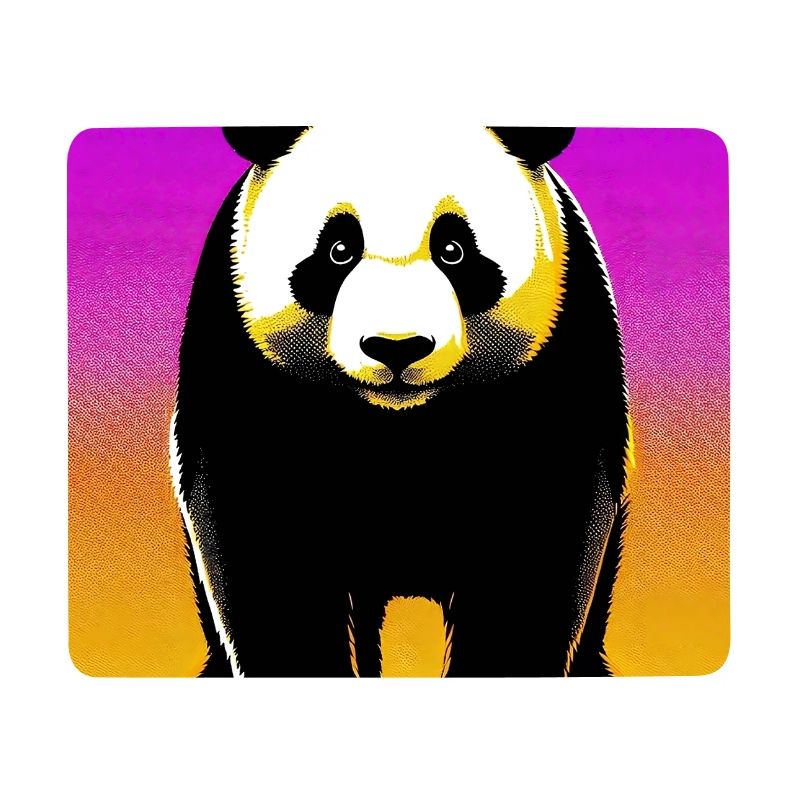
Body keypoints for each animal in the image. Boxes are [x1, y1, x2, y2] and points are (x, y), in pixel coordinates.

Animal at [170, 125, 633, 678]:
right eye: (339, 249)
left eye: (453, 249)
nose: (396, 346)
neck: (399, 419)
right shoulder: (244, 360)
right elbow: (260, 535)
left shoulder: (559, 349)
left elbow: (542, 535)